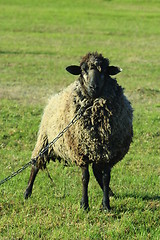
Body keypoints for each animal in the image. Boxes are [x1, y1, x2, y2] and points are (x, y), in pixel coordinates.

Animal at [24, 52, 133, 210]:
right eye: (82, 70)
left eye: (104, 71)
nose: (93, 87)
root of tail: (52, 98)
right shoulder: (81, 152)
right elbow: (85, 178)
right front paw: (84, 204)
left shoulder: (108, 152)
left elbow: (106, 177)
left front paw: (106, 204)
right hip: (45, 140)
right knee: (35, 164)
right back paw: (27, 192)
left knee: (97, 173)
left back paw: (110, 192)